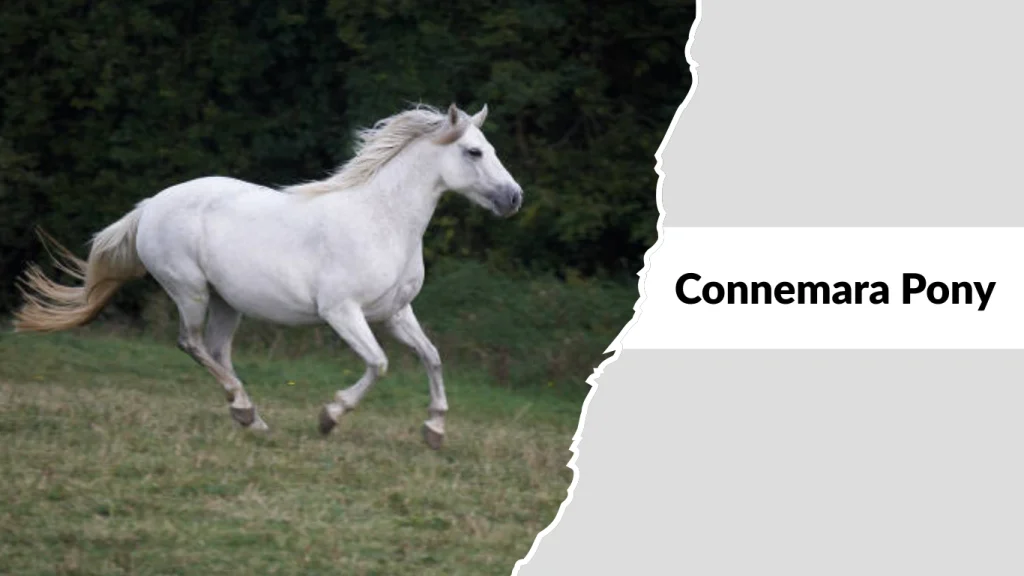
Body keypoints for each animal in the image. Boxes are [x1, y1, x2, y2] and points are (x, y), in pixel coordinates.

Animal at [12, 103, 523, 450]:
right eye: (474, 151)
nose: (514, 197)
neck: (381, 220)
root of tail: (150, 206)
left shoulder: (395, 313)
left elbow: (431, 357)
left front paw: (434, 429)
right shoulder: (342, 312)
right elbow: (379, 364)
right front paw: (329, 417)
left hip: (226, 302)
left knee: (216, 349)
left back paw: (252, 419)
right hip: (190, 291)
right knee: (191, 343)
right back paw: (243, 409)